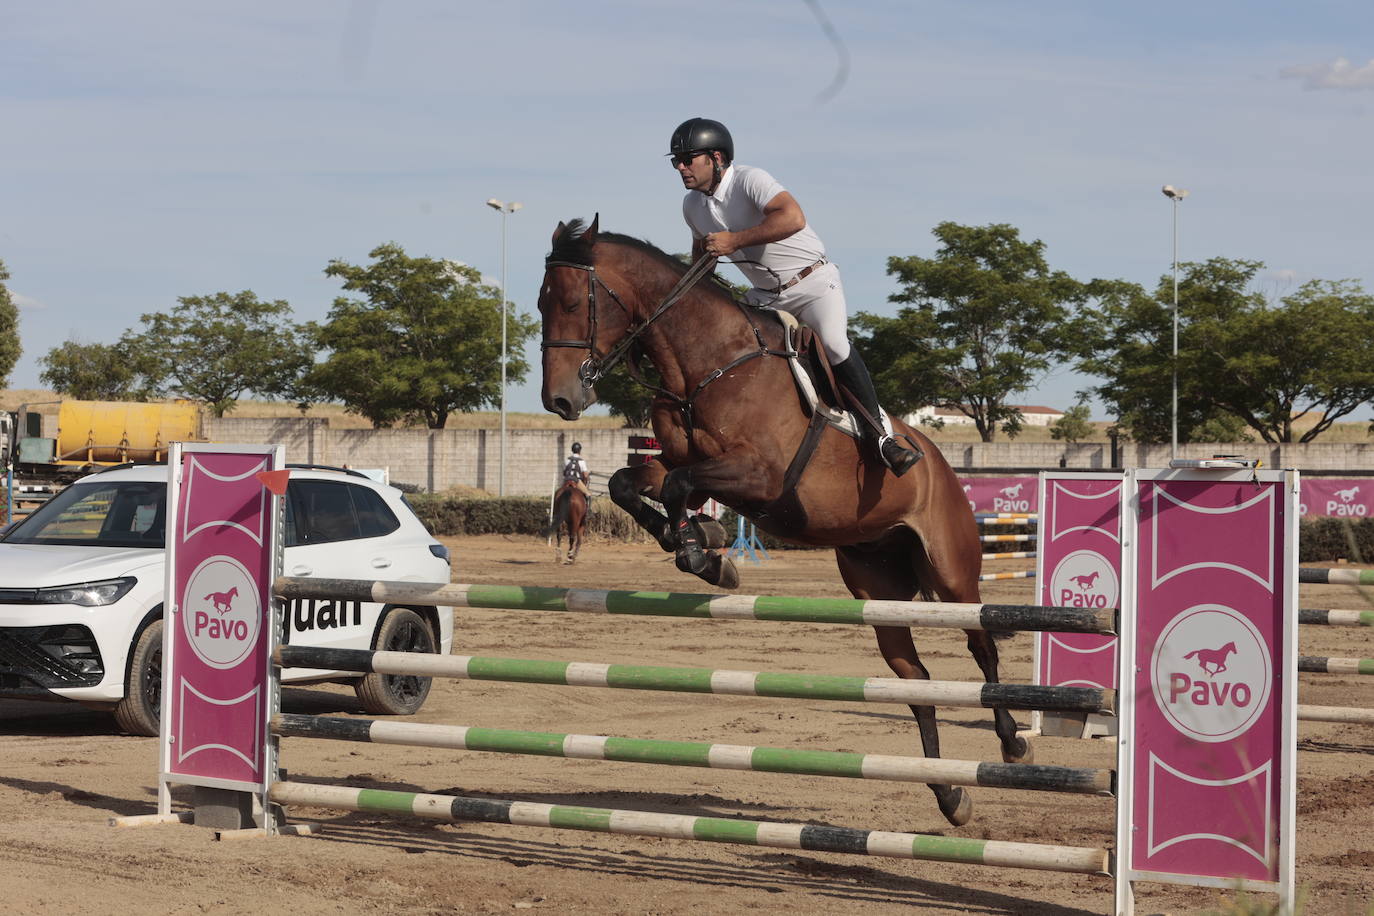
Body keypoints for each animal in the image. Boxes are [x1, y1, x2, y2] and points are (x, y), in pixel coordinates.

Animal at [541, 218, 1027, 829]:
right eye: (540, 303)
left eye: (571, 302)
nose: (559, 400)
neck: (707, 363)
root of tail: (940, 462)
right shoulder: (686, 465)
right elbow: (632, 484)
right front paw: (704, 550)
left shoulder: (760, 476)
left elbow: (677, 489)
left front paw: (701, 550)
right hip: (878, 587)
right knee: (915, 680)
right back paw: (950, 795)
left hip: (951, 573)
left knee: (982, 644)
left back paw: (1012, 742)